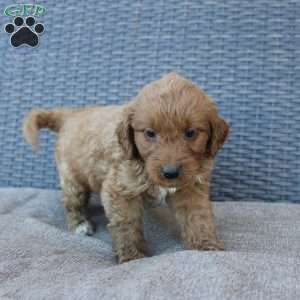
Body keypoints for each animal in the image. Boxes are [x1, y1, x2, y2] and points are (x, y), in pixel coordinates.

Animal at [23, 72, 230, 262]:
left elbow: (198, 217)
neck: (144, 166)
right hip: (73, 179)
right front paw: (132, 256)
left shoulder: (190, 188)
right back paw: (79, 224)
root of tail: (71, 115)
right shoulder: (119, 189)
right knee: (71, 202)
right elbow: (126, 225)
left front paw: (207, 246)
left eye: (191, 133)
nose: (170, 173)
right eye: (150, 133)